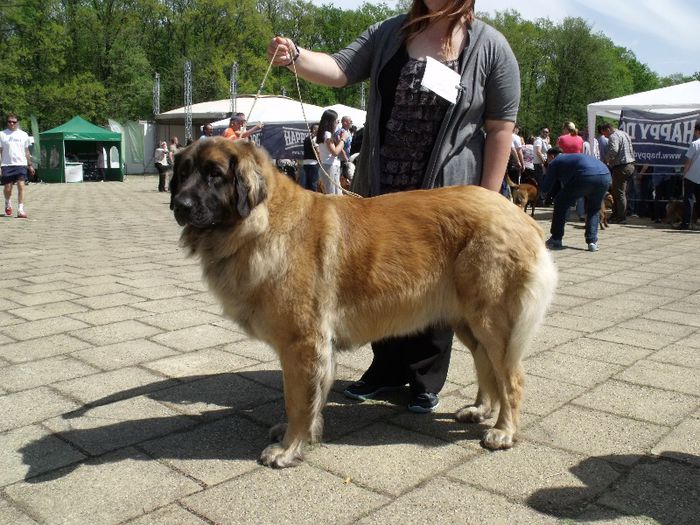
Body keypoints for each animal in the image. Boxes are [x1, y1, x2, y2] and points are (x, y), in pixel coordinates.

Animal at [170, 138, 556, 466]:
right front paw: (303, 436)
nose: (179, 205)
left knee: (511, 377)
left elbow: (297, 400)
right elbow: (311, 397)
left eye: (214, 175)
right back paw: (481, 411)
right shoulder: (315, 347)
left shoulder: (302, 343)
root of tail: (520, 217)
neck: (262, 222)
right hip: (469, 323)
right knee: (486, 367)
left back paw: (503, 431)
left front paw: (288, 448)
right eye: (183, 173)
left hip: (491, 321)